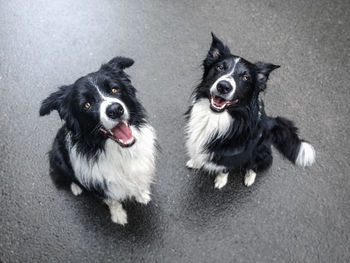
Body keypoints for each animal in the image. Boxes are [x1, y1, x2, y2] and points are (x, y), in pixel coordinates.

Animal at [39, 56, 157, 226]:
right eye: (87, 105)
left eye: (114, 89)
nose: (115, 110)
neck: (120, 150)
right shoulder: (101, 182)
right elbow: (112, 200)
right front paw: (119, 216)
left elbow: (139, 182)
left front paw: (142, 195)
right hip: (58, 156)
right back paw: (76, 187)